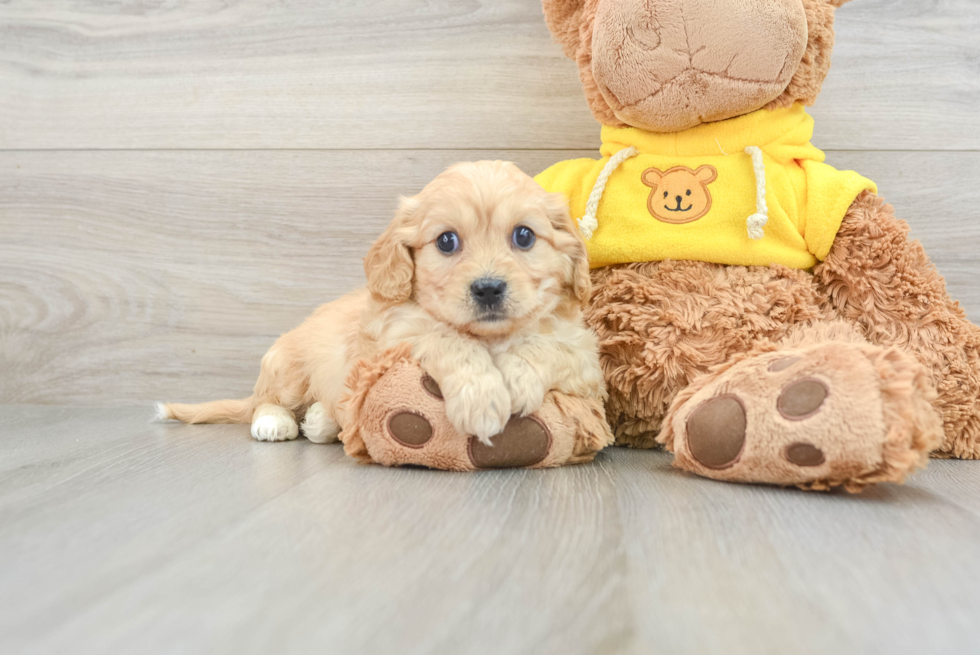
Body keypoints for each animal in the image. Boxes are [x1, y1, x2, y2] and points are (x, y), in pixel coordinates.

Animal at [159, 161, 604, 446]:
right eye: (446, 241)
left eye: (524, 236)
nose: (489, 289)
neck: (490, 338)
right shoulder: (395, 339)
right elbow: (449, 339)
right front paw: (482, 398)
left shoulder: (586, 359)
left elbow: (547, 345)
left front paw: (515, 376)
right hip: (286, 367)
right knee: (265, 402)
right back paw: (275, 423)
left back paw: (322, 421)